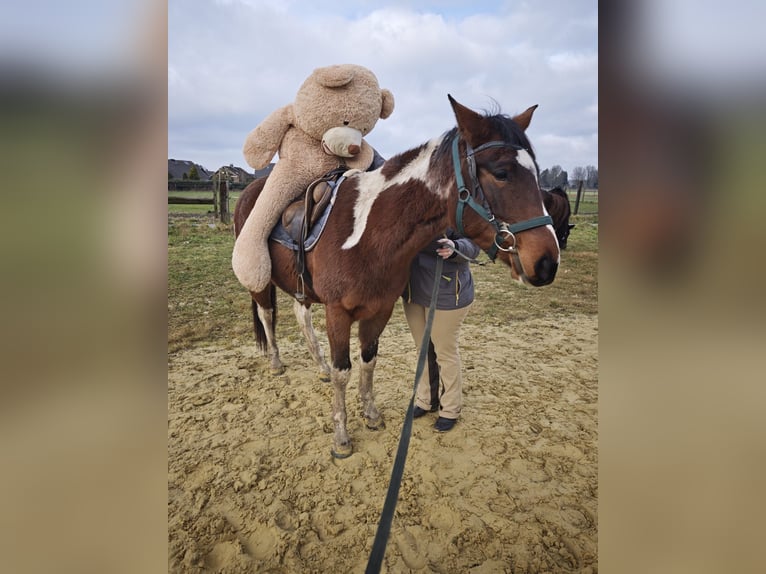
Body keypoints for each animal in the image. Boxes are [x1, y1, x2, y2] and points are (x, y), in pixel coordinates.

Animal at [233, 95, 560, 458]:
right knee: (267, 314)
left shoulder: (380, 309)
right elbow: (343, 371)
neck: (367, 234)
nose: (547, 263)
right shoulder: (338, 312)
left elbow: (368, 361)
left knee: (300, 316)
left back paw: (318, 367)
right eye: (502, 173)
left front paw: (371, 414)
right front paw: (342, 437)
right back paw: (276, 362)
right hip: (261, 279)